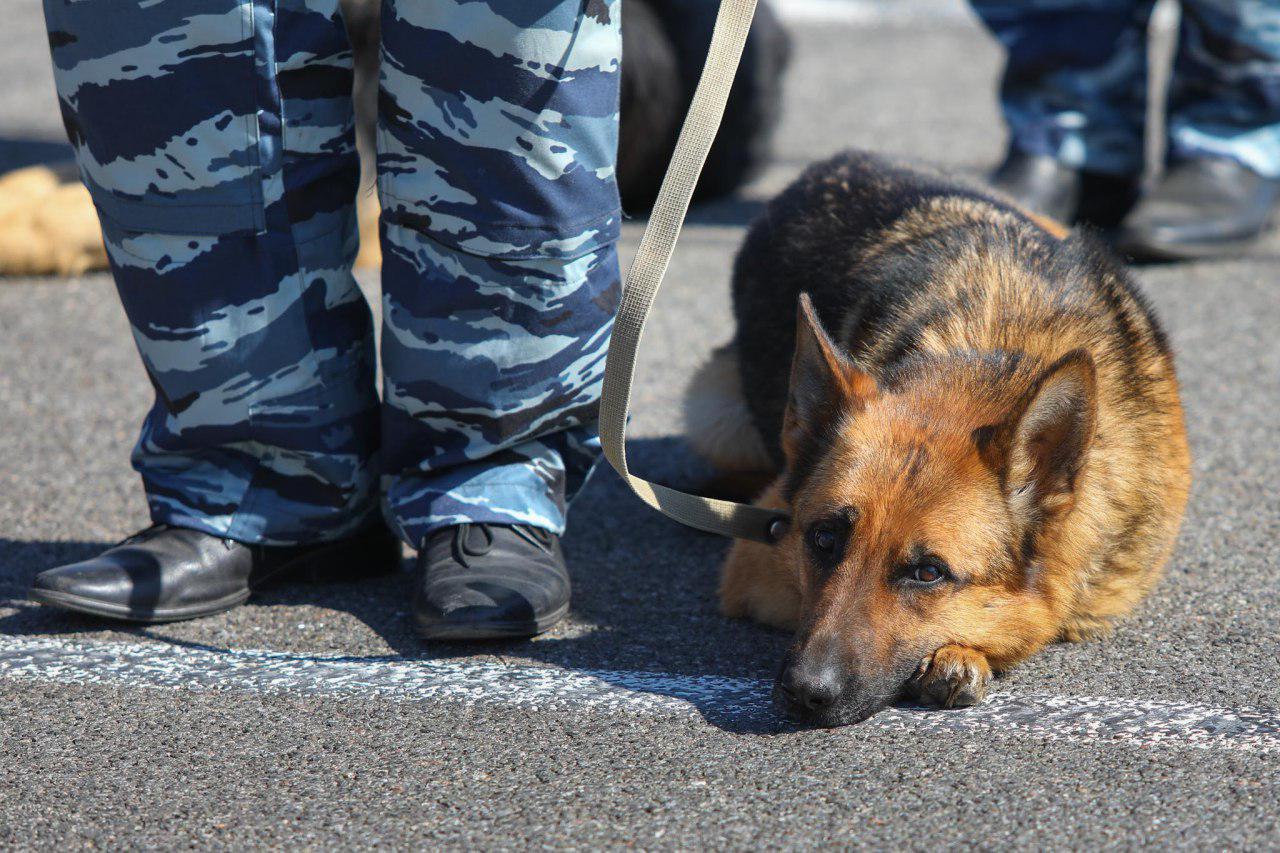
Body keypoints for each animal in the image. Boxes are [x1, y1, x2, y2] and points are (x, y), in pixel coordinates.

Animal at [686, 149, 1192, 722]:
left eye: (928, 573)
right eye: (823, 538)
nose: (804, 693)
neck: (997, 348)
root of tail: (834, 163)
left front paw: (962, 652)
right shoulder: (756, 570)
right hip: (715, 413)